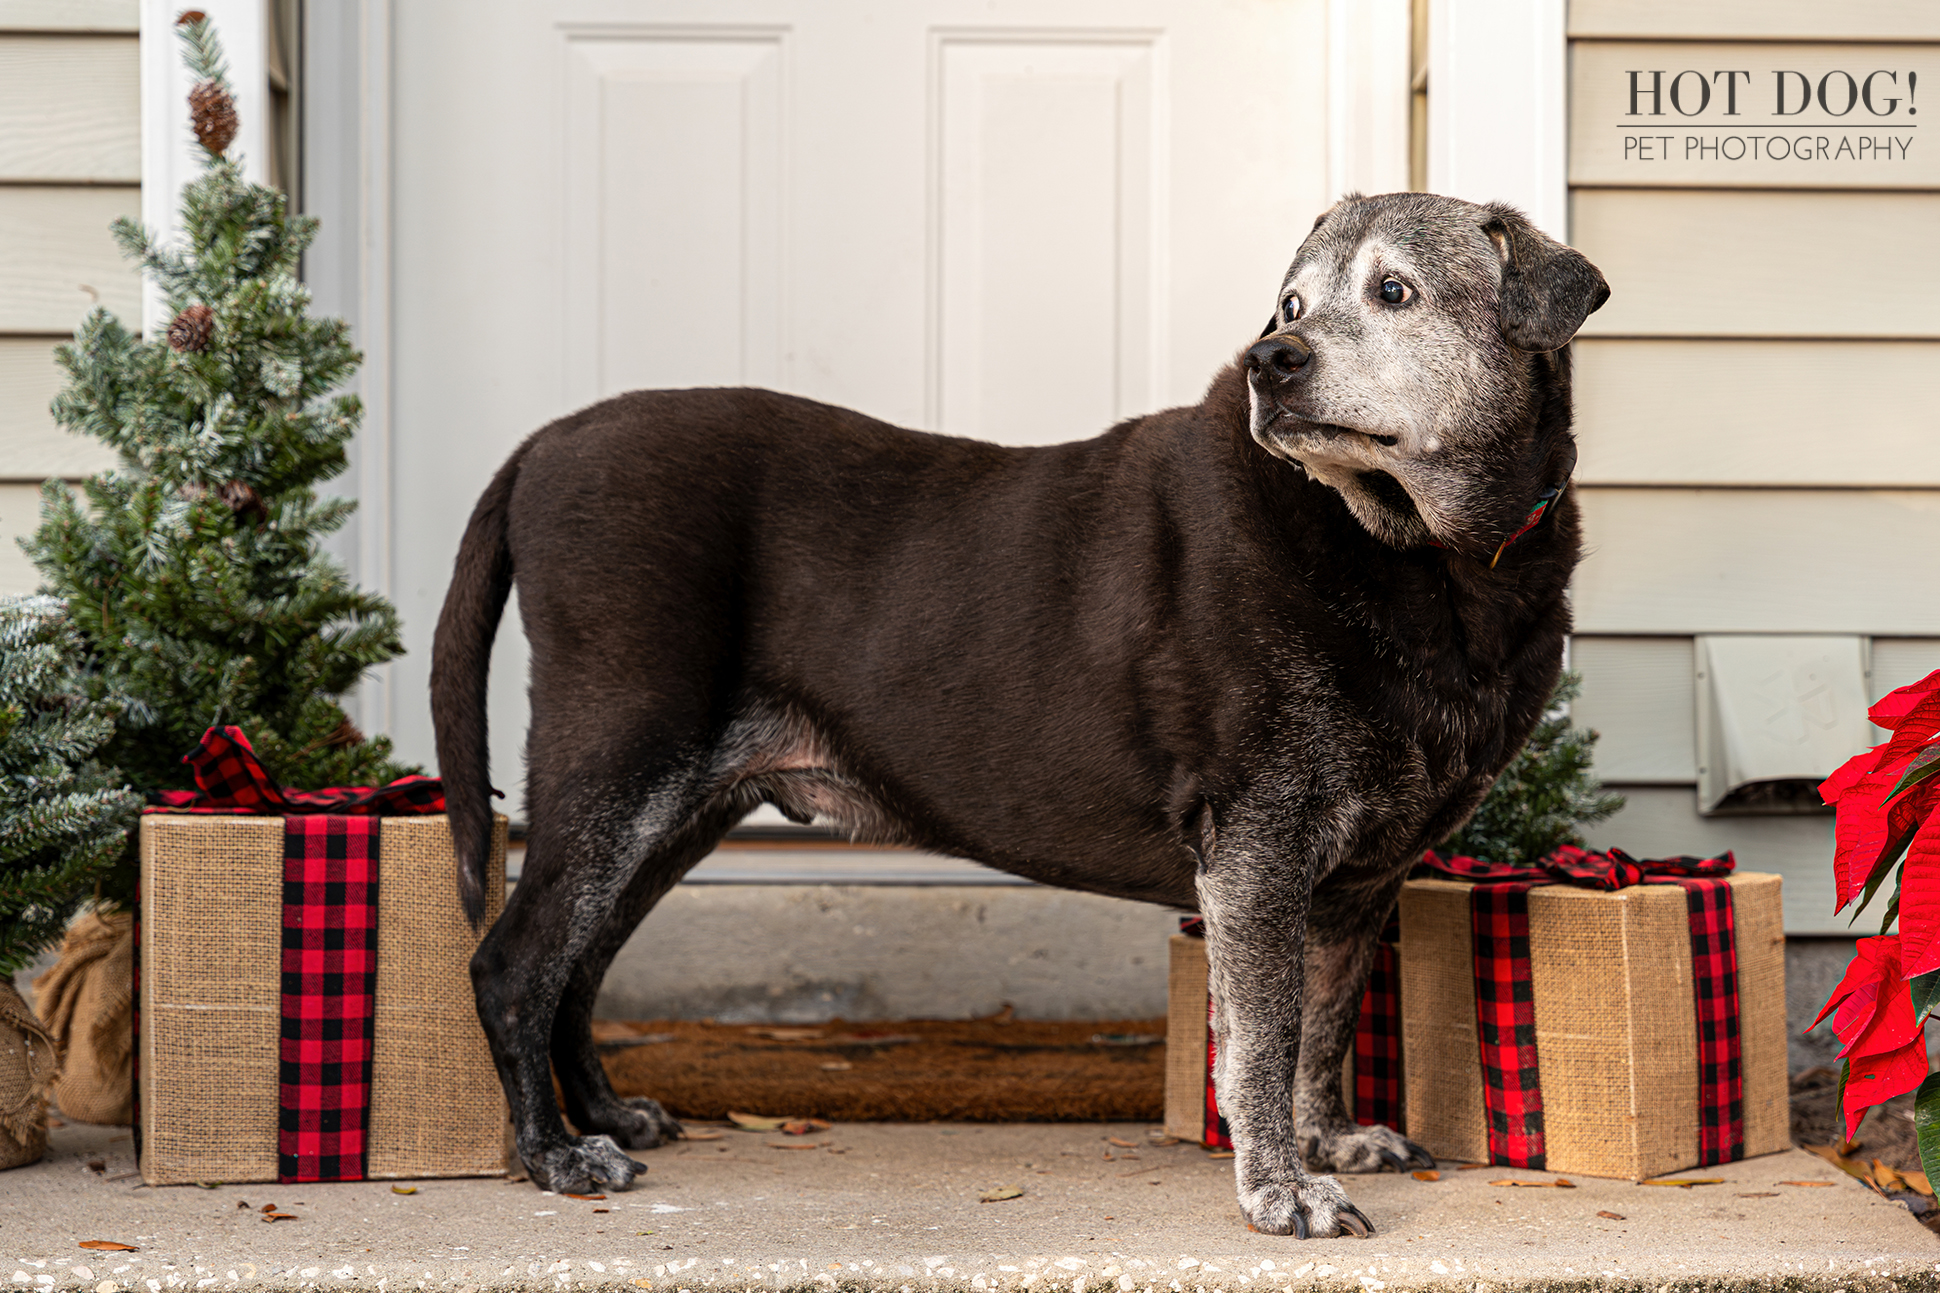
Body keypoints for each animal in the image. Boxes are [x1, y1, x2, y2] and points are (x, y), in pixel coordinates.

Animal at [436, 189, 1606, 1226]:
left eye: (1393, 290)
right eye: (1289, 305)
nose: (1271, 360)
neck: (1416, 555)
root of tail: (542, 446)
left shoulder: (1357, 879)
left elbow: (1324, 1025)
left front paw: (1329, 1141)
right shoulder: (1258, 845)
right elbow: (1262, 1044)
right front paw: (1283, 1193)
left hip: (679, 804)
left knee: (578, 964)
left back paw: (601, 1115)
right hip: (617, 754)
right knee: (515, 963)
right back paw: (553, 1155)